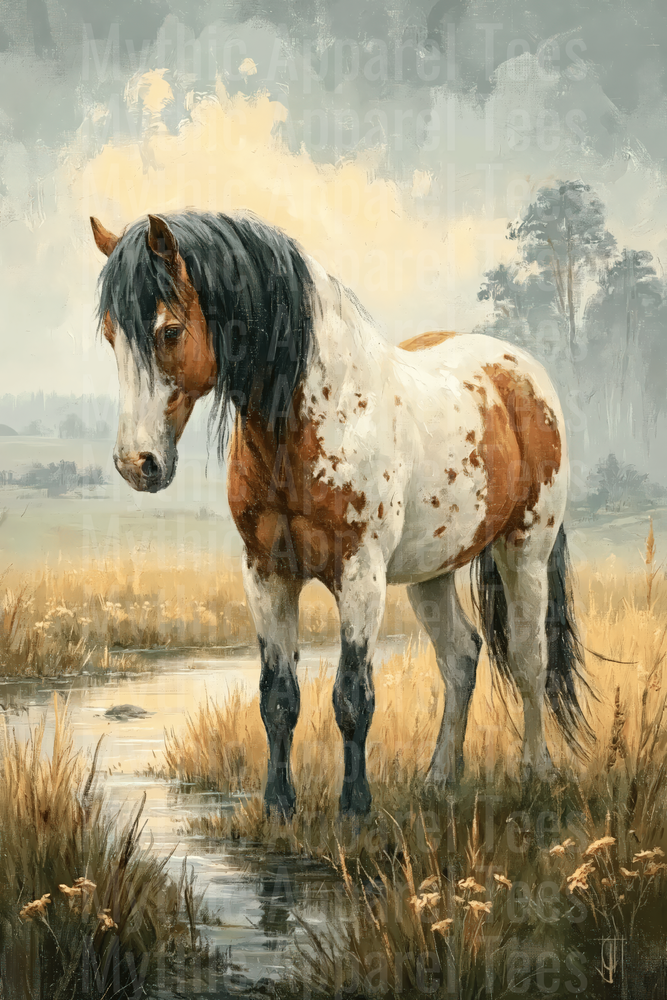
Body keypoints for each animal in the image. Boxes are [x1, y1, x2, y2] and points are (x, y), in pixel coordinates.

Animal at [91, 210, 592, 818]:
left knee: (527, 657)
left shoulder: (360, 574)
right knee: (461, 657)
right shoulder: (267, 574)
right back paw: (439, 778)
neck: (314, 417)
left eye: (168, 331)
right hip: (432, 571)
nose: (136, 464)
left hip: (524, 552)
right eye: (112, 335)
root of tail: (521, 372)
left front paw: (354, 809)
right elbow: (278, 697)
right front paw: (279, 807)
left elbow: (353, 697)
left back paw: (536, 772)